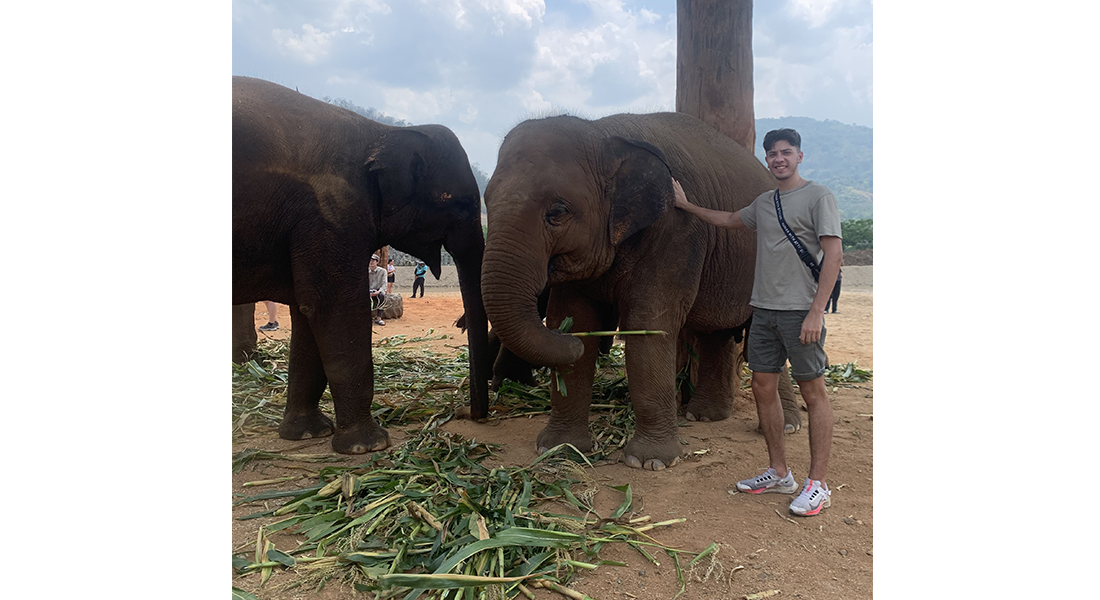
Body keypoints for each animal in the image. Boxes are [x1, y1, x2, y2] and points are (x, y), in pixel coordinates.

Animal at [234, 75, 488, 453]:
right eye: (459, 204)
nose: (469, 414)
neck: (381, 132)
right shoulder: (331, 217)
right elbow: (337, 309)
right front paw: (369, 445)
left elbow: (307, 314)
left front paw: (307, 433)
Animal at [486, 111, 778, 466]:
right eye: (485, 201)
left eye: (557, 212)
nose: (567, 340)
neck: (603, 133)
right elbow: (576, 317)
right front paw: (560, 448)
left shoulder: (677, 230)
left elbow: (648, 327)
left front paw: (651, 462)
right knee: (715, 334)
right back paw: (706, 417)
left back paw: (781, 425)